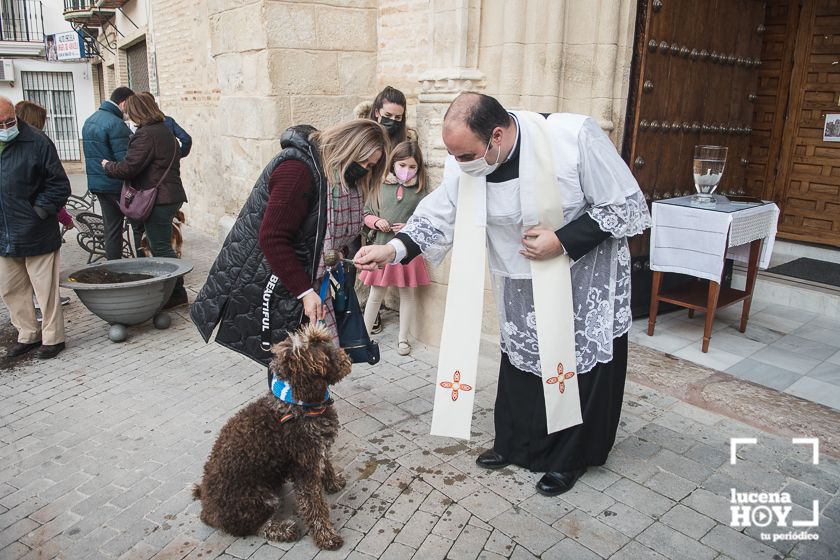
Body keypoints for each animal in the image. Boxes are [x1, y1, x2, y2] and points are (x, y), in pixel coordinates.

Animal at [193, 326, 352, 548]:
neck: (296, 404)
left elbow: (327, 465)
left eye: (323, 340)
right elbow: (313, 505)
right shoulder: (304, 467)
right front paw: (326, 536)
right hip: (257, 498)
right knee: (251, 528)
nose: (346, 357)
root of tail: (207, 511)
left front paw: (333, 483)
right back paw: (283, 529)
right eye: (321, 350)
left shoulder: (318, 450)